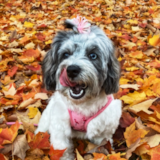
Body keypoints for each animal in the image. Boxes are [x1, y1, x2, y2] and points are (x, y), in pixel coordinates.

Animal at [35, 15, 122, 159]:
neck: (82, 104)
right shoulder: (59, 127)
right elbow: (62, 150)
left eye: (93, 55)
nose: (72, 70)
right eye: (66, 54)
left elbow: (103, 147)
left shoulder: (103, 130)